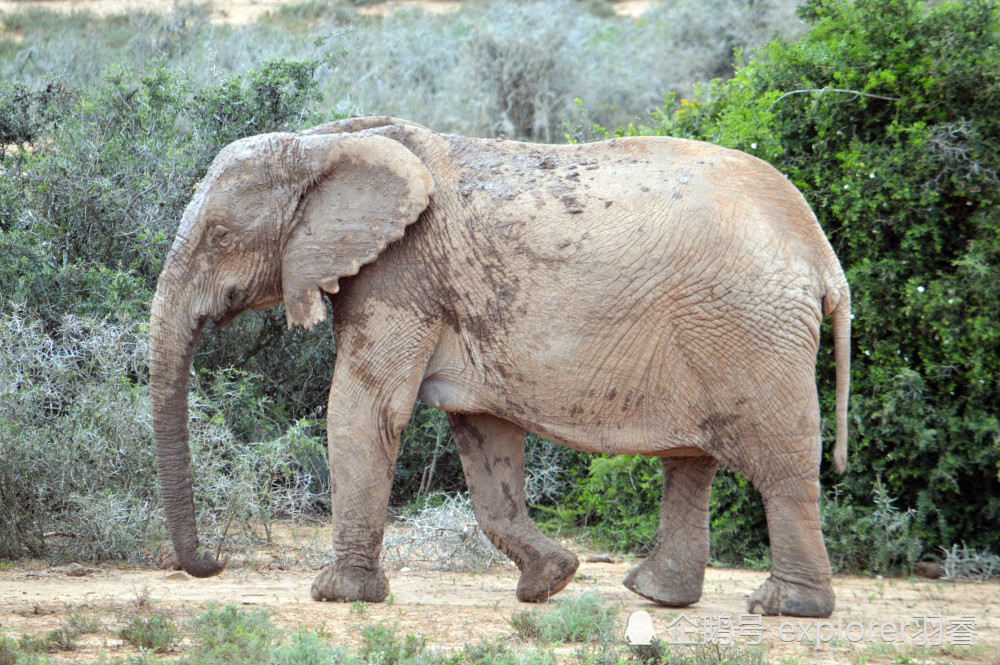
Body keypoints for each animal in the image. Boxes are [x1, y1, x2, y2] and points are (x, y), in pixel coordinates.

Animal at [150, 113, 852, 616]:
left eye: (219, 236)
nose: (215, 562)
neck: (324, 144)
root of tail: (821, 254)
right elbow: (485, 439)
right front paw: (549, 582)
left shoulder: (402, 273)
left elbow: (363, 409)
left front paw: (338, 594)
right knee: (691, 462)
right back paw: (656, 595)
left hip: (748, 328)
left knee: (782, 462)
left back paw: (786, 606)